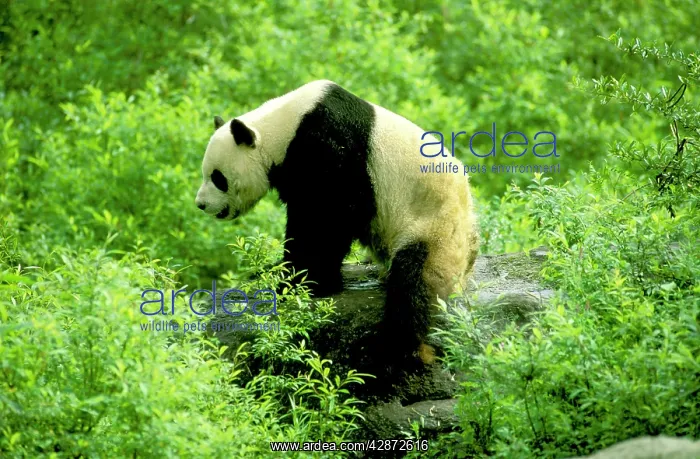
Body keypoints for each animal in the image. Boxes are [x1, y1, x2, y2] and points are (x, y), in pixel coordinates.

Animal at [195, 80, 479, 366]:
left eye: (218, 178)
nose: (201, 204)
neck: (280, 126)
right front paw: (273, 270)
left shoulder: (330, 146)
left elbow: (326, 218)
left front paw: (302, 282)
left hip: (435, 226)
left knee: (416, 281)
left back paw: (393, 346)